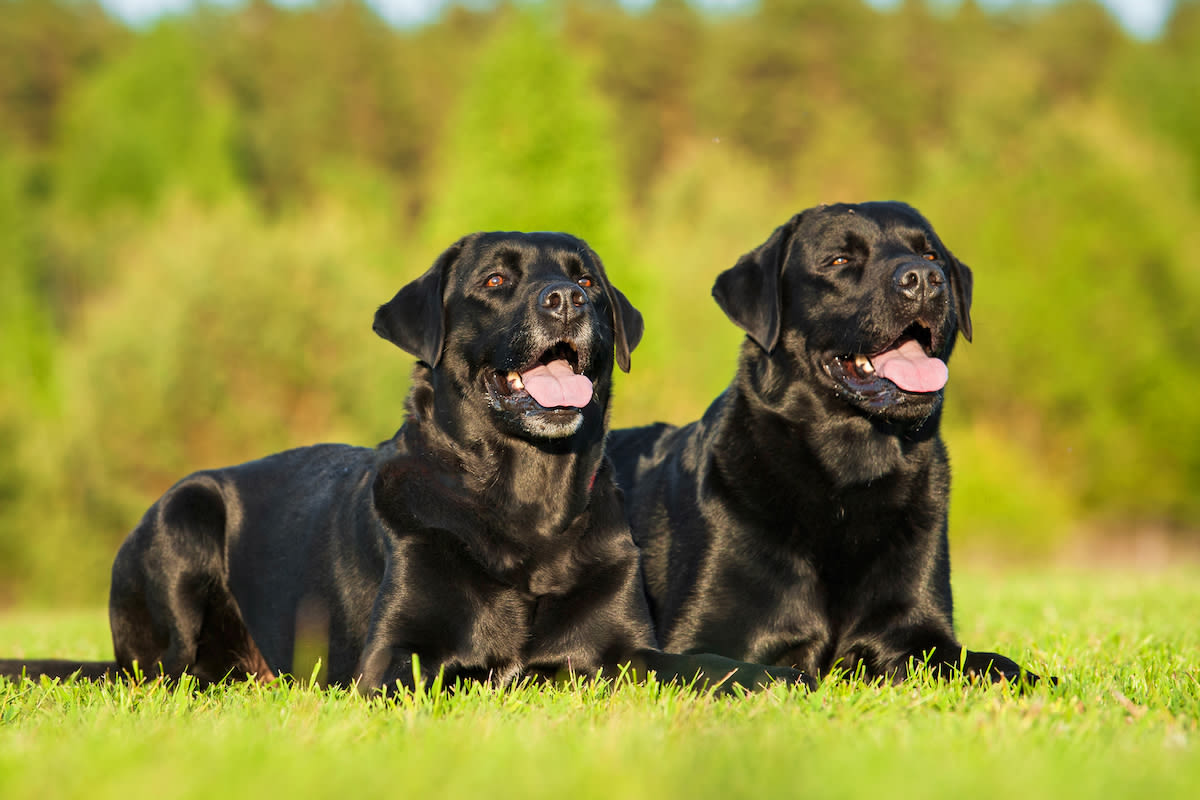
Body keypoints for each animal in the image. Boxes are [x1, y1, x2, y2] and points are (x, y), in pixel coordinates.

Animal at [2, 231, 806, 695]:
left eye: (588, 281)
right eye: (495, 282)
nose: (567, 302)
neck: (526, 506)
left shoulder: (625, 645)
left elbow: (699, 665)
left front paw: (767, 678)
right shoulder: (392, 659)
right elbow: (472, 674)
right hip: (183, 515)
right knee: (170, 674)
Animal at [609, 203, 1041, 686]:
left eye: (932, 255)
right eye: (839, 260)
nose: (926, 279)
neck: (851, 472)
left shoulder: (919, 635)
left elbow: (997, 665)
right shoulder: (701, 639)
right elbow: (738, 669)